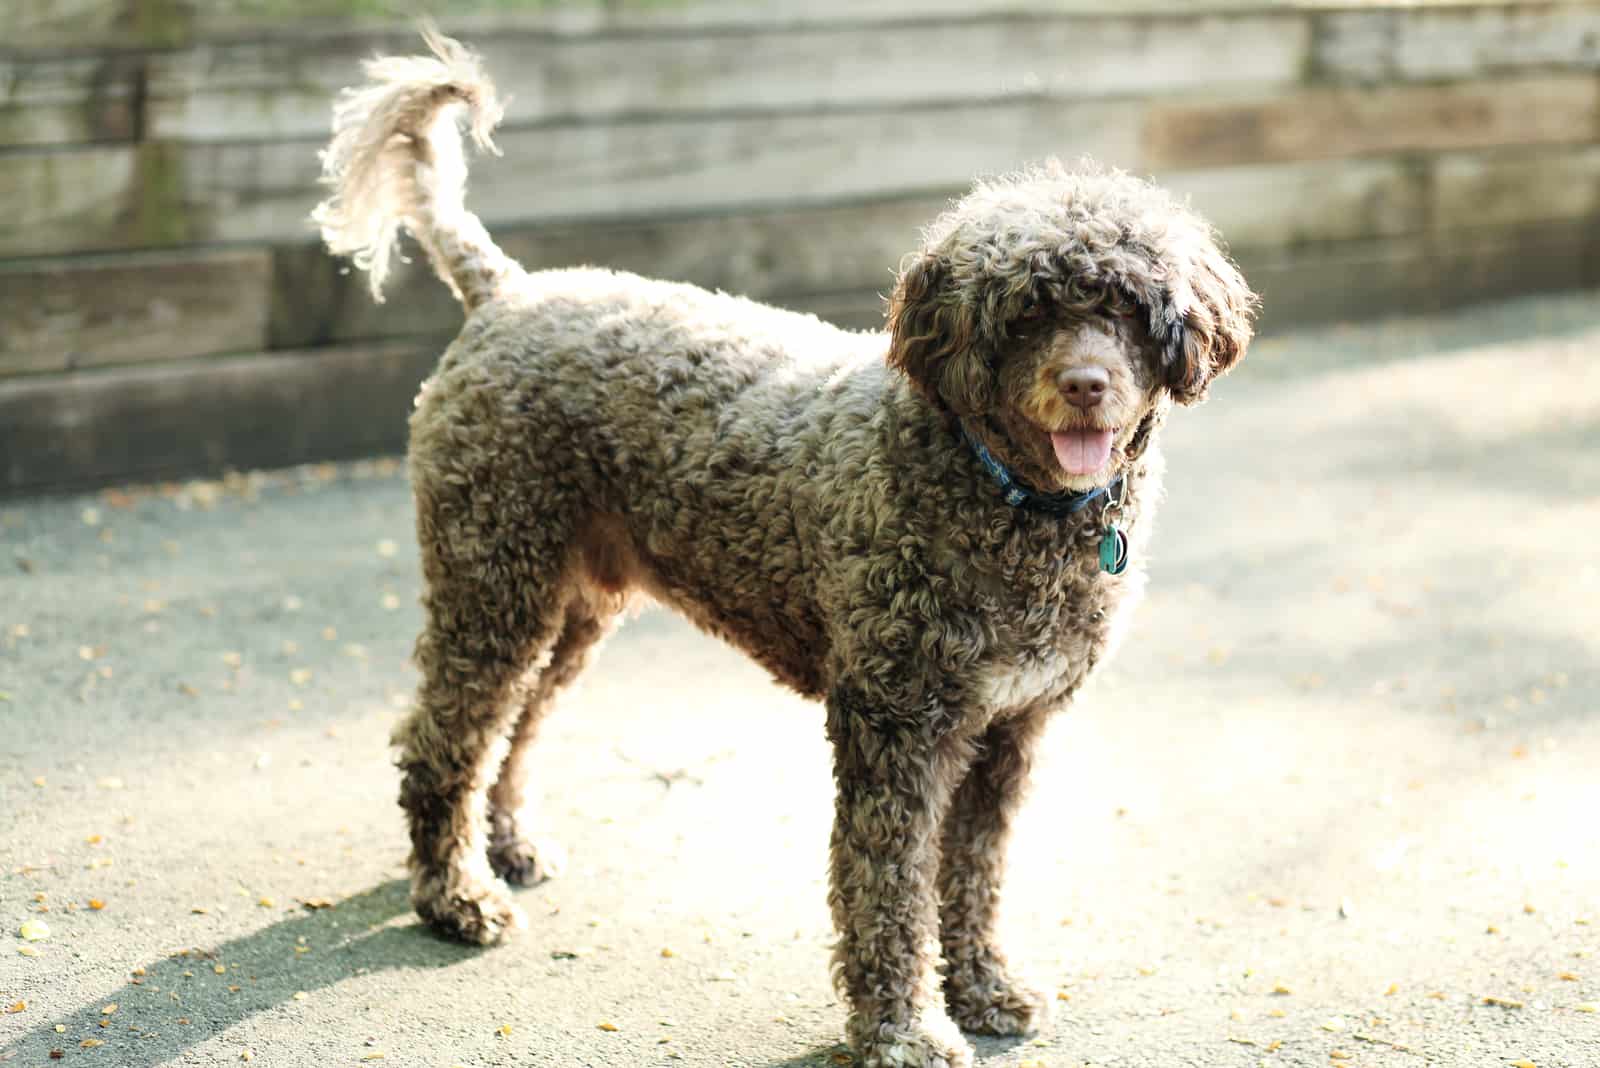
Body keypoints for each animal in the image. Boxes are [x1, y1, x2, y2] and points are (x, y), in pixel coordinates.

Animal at [312, 31, 1254, 1068]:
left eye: (1126, 307)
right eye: (1027, 314)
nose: (1086, 384)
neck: (1007, 498)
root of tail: (506, 292)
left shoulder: (1008, 733)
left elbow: (973, 874)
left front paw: (983, 989)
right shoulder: (895, 728)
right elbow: (889, 889)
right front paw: (903, 1032)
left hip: (571, 606)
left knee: (514, 727)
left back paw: (507, 844)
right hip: (493, 582)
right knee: (444, 737)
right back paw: (453, 894)